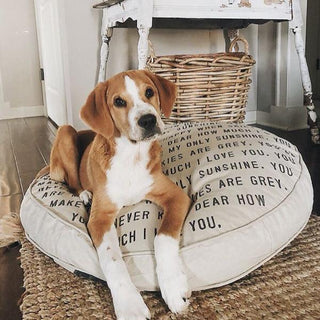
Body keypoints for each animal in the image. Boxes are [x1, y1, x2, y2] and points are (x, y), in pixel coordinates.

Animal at [48, 70, 191, 320]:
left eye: (149, 92)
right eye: (118, 102)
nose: (148, 120)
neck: (131, 155)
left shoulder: (177, 196)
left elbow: (163, 237)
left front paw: (173, 287)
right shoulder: (99, 218)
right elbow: (112, 259)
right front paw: (130, 305)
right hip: (65, 133)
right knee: (73, 182)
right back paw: (84, 194)